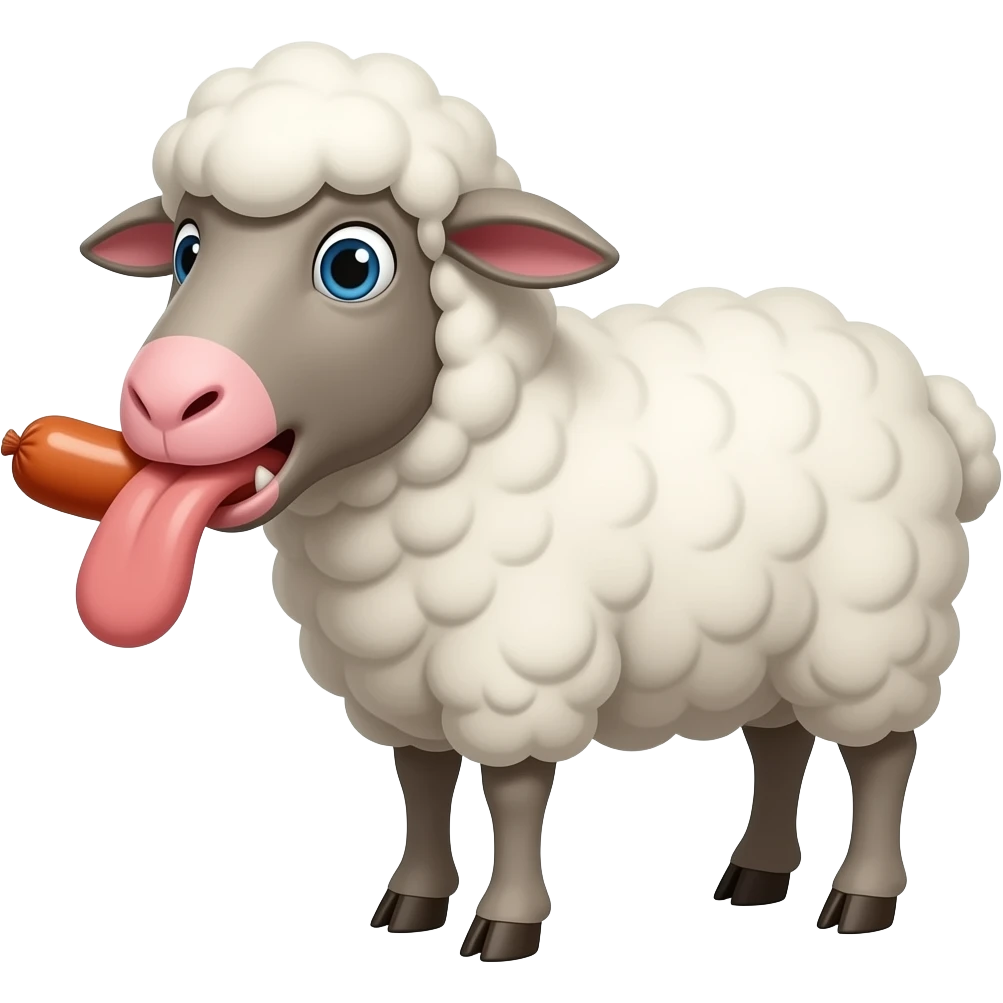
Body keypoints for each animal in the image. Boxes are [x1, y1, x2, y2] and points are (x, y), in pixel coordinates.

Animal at [68, 41, 1000, 959]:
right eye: (188, 250)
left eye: (353, 265)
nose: (163, 399)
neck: (485, 432)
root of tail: (924, 385)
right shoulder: (399, 672)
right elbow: (422, 779)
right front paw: (411, 900)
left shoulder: (517, 659)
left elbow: (513, 791)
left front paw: (505, 924)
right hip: (772, 633)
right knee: (780, 740)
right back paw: (756, 875)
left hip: (873, 624)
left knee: (882, 755)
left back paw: (862, 897)